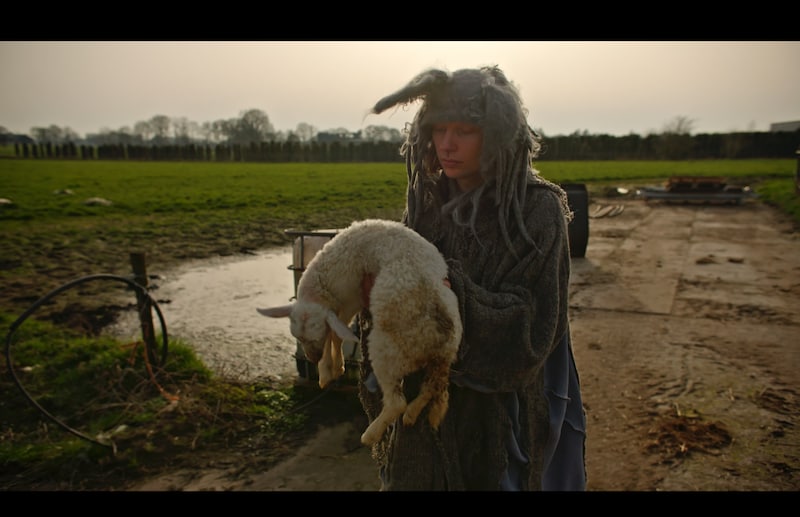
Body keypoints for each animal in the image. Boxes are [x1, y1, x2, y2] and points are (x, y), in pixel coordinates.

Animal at [258, 218, 462, 446]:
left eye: (315, 337)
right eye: (297, 337)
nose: (312, 359)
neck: (321, 284)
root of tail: (441, 339)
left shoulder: (347, 297)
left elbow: (336, 332)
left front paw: (327, 370)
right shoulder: (351, 300)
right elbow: (338, 332)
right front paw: (335, 367)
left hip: (386, 352)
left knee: (397, 402)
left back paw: (371, 434)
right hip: (437, 359)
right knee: (431, 388)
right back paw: (412, 414)